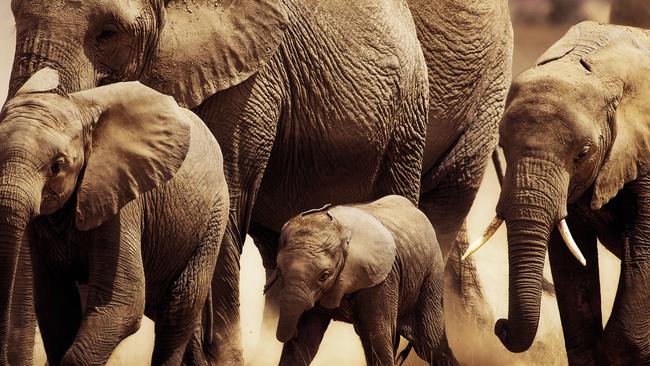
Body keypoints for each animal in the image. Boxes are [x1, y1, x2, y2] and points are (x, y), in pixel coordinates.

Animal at [0, 67, 229, 364]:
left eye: (57, 166)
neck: (79, 109)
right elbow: (55, 305)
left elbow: (123, 302)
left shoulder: (121, 205)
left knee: (179, 308)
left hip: (214, 219)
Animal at [268, 194, 456, 364]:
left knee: (430, 343)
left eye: (324, 276)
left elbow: (378, 336)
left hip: (431, 274)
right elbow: (306, 339)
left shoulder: (382, 279)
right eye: (279, 271)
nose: (291, 332)